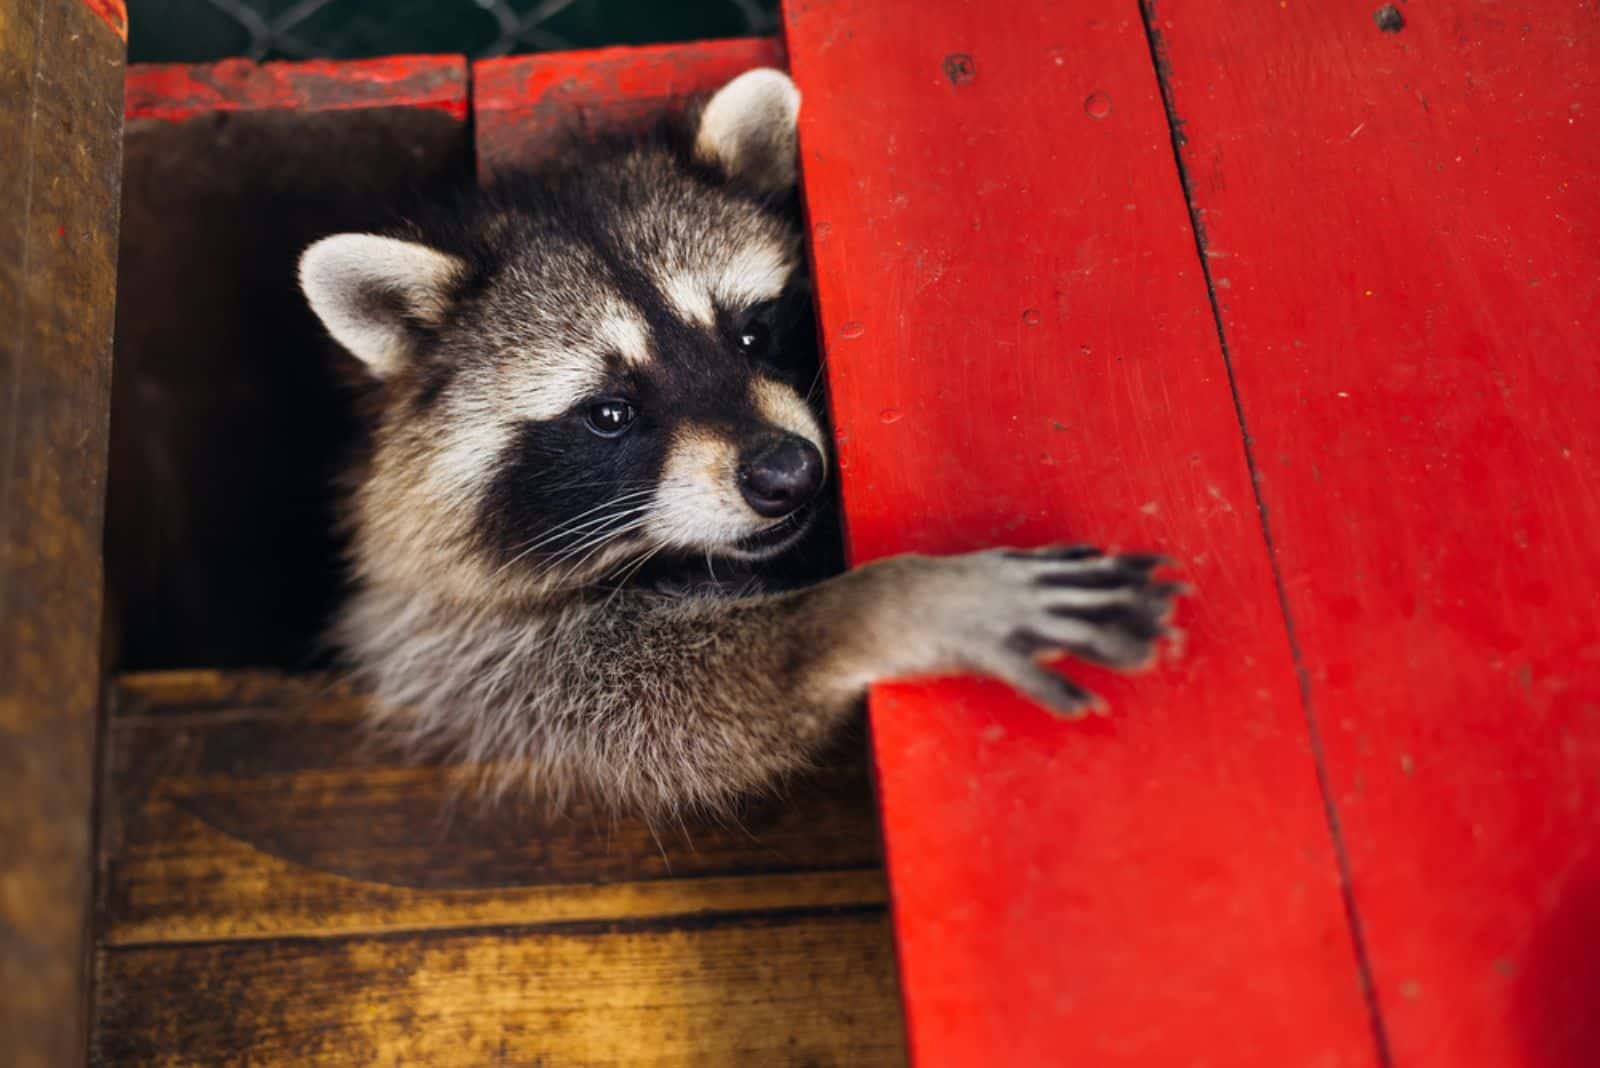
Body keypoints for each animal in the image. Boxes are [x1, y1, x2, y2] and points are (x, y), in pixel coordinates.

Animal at [297, 68, 1177, 818]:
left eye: (752, 333)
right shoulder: (455, 642)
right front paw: (871, 609)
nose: (789, 473)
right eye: (609, 414)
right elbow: (647, 710)